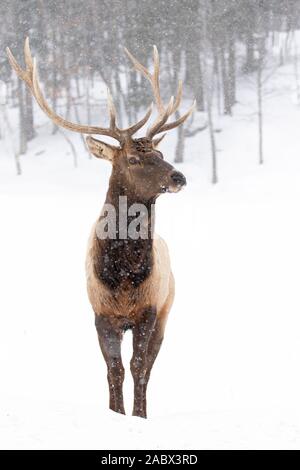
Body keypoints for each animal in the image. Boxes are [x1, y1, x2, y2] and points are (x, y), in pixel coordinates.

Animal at [7, 38, 196, 416]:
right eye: (134, 158)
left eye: (160, 153)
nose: (179, 177)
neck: (122, 276)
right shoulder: (101, 313)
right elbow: (113, 368)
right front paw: (115, 412)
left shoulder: (148, 311)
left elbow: (138, 366)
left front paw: (137, 415)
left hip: (167, 309)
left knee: (150, 365)